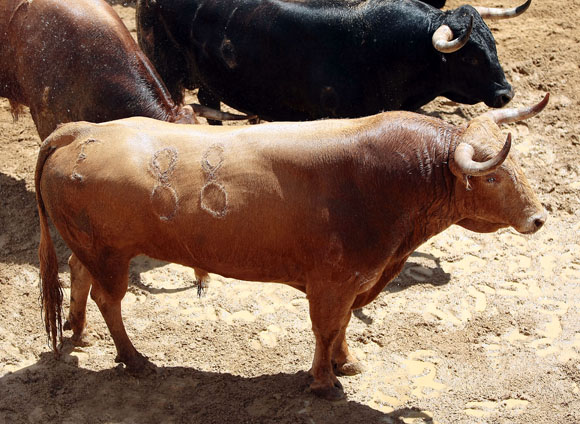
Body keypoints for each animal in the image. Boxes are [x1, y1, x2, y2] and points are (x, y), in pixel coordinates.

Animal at [35, 94, 548, 400]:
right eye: (493, 176)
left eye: (517, 164)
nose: (539, 218)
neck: (389, 180)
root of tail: (81, 130)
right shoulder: (332, 282)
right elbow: (326, 328)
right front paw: (324, 382)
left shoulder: (352, 283)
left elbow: (341, 328)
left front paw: (346, 362)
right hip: (111, 254)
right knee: (109, 299)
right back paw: (135, 360)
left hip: (96, 248)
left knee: (79, 275)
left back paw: (78, 330)